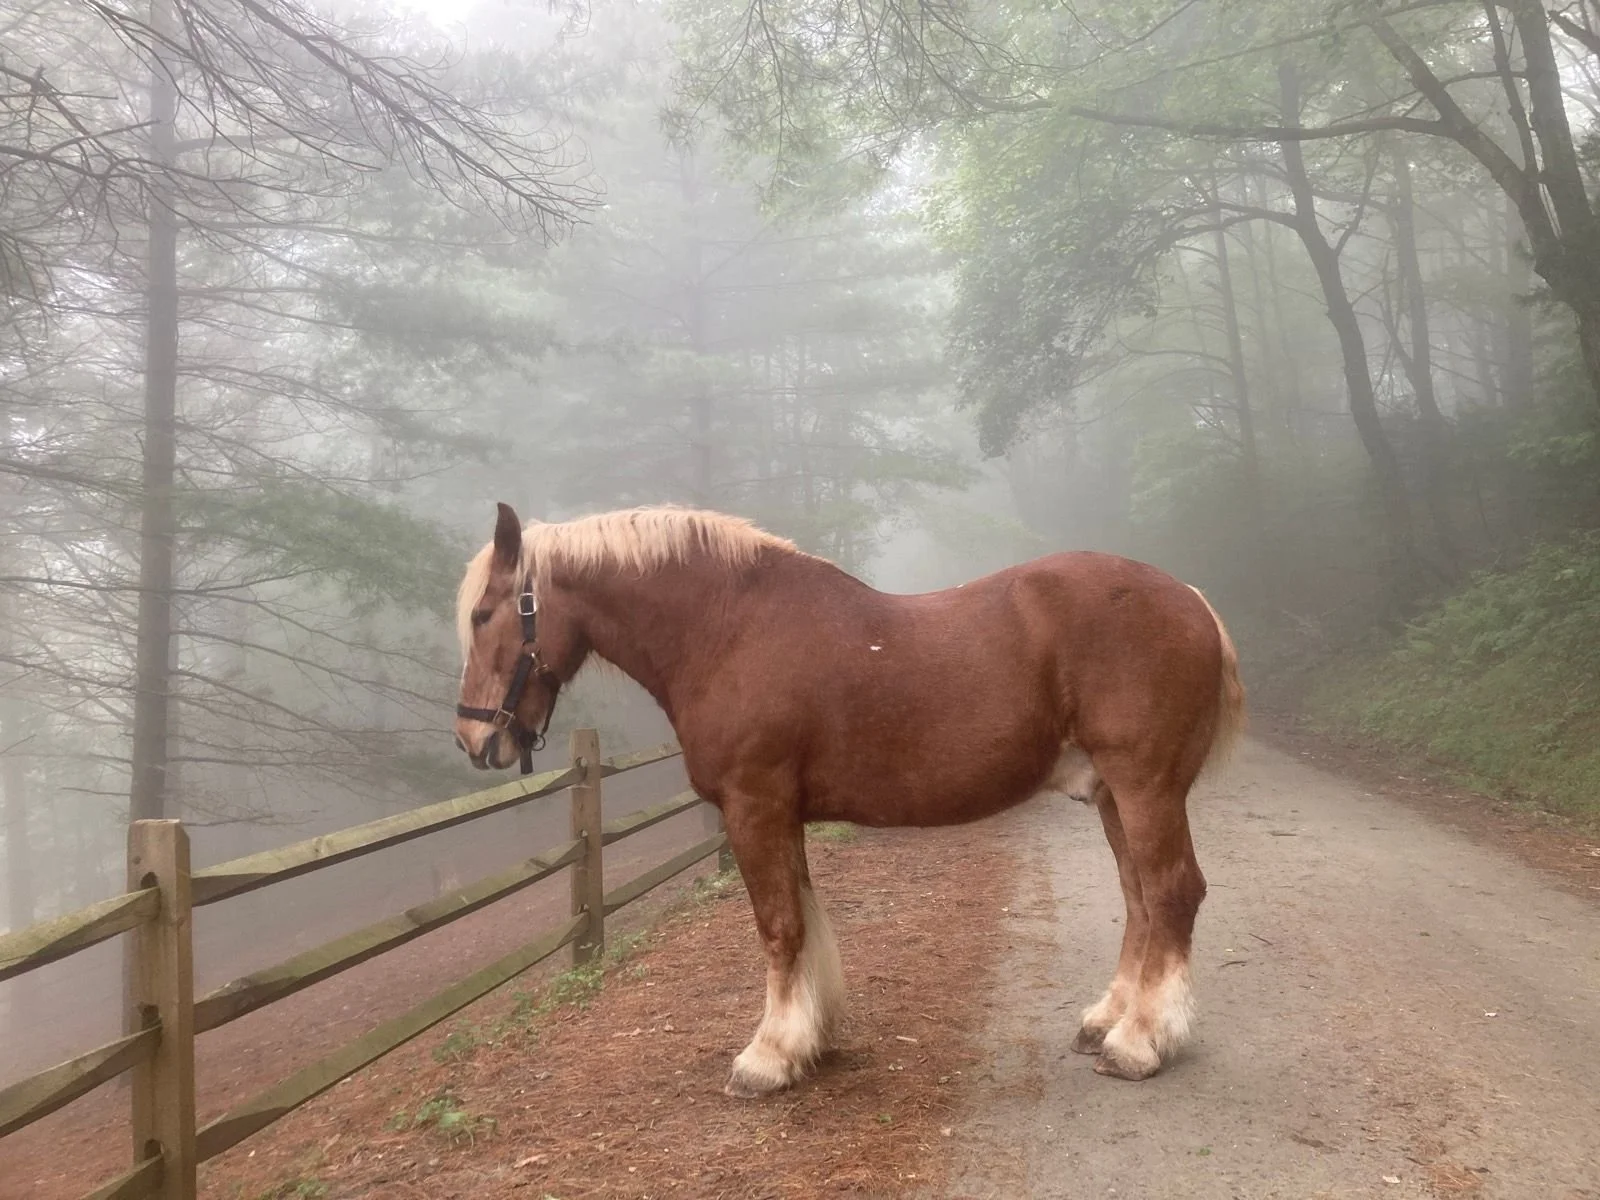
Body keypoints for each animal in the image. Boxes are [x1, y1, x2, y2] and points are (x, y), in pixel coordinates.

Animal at [453, 503, 1244, 1097]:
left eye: (486, 613)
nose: (472, 737)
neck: (727, 629)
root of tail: (1195, 603)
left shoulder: (754, 808)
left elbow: (779, 929)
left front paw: (768, 1057)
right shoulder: (781, 815)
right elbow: (804, 923)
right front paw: (811, 1038)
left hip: (1145, 787)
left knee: (1172, 893)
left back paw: (1141, 1043)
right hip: (1114, 794)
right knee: (1140, 897)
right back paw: (1108, 1019)